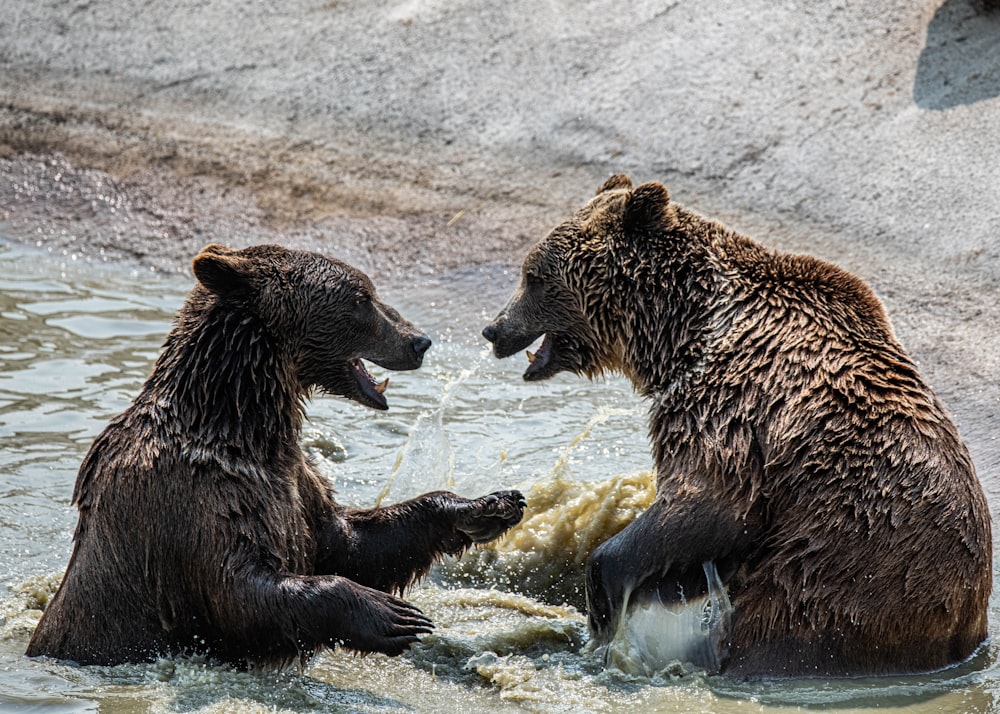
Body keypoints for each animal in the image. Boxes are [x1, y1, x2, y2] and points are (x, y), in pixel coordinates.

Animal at [25, 243, 524, 668]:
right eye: (361, 298)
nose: (419, 341)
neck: (241, 427)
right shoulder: (197, 497)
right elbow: (240, 589)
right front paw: (395, 616)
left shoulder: (294, 480)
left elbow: (349, 542)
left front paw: (490, 505)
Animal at [484, 175, 992, 676]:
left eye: (533, 276)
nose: (494, 329)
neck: (677, 331)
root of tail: (967, 623)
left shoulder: (730, 403)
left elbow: (712, 503)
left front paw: (606, 593)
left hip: (835, 584)